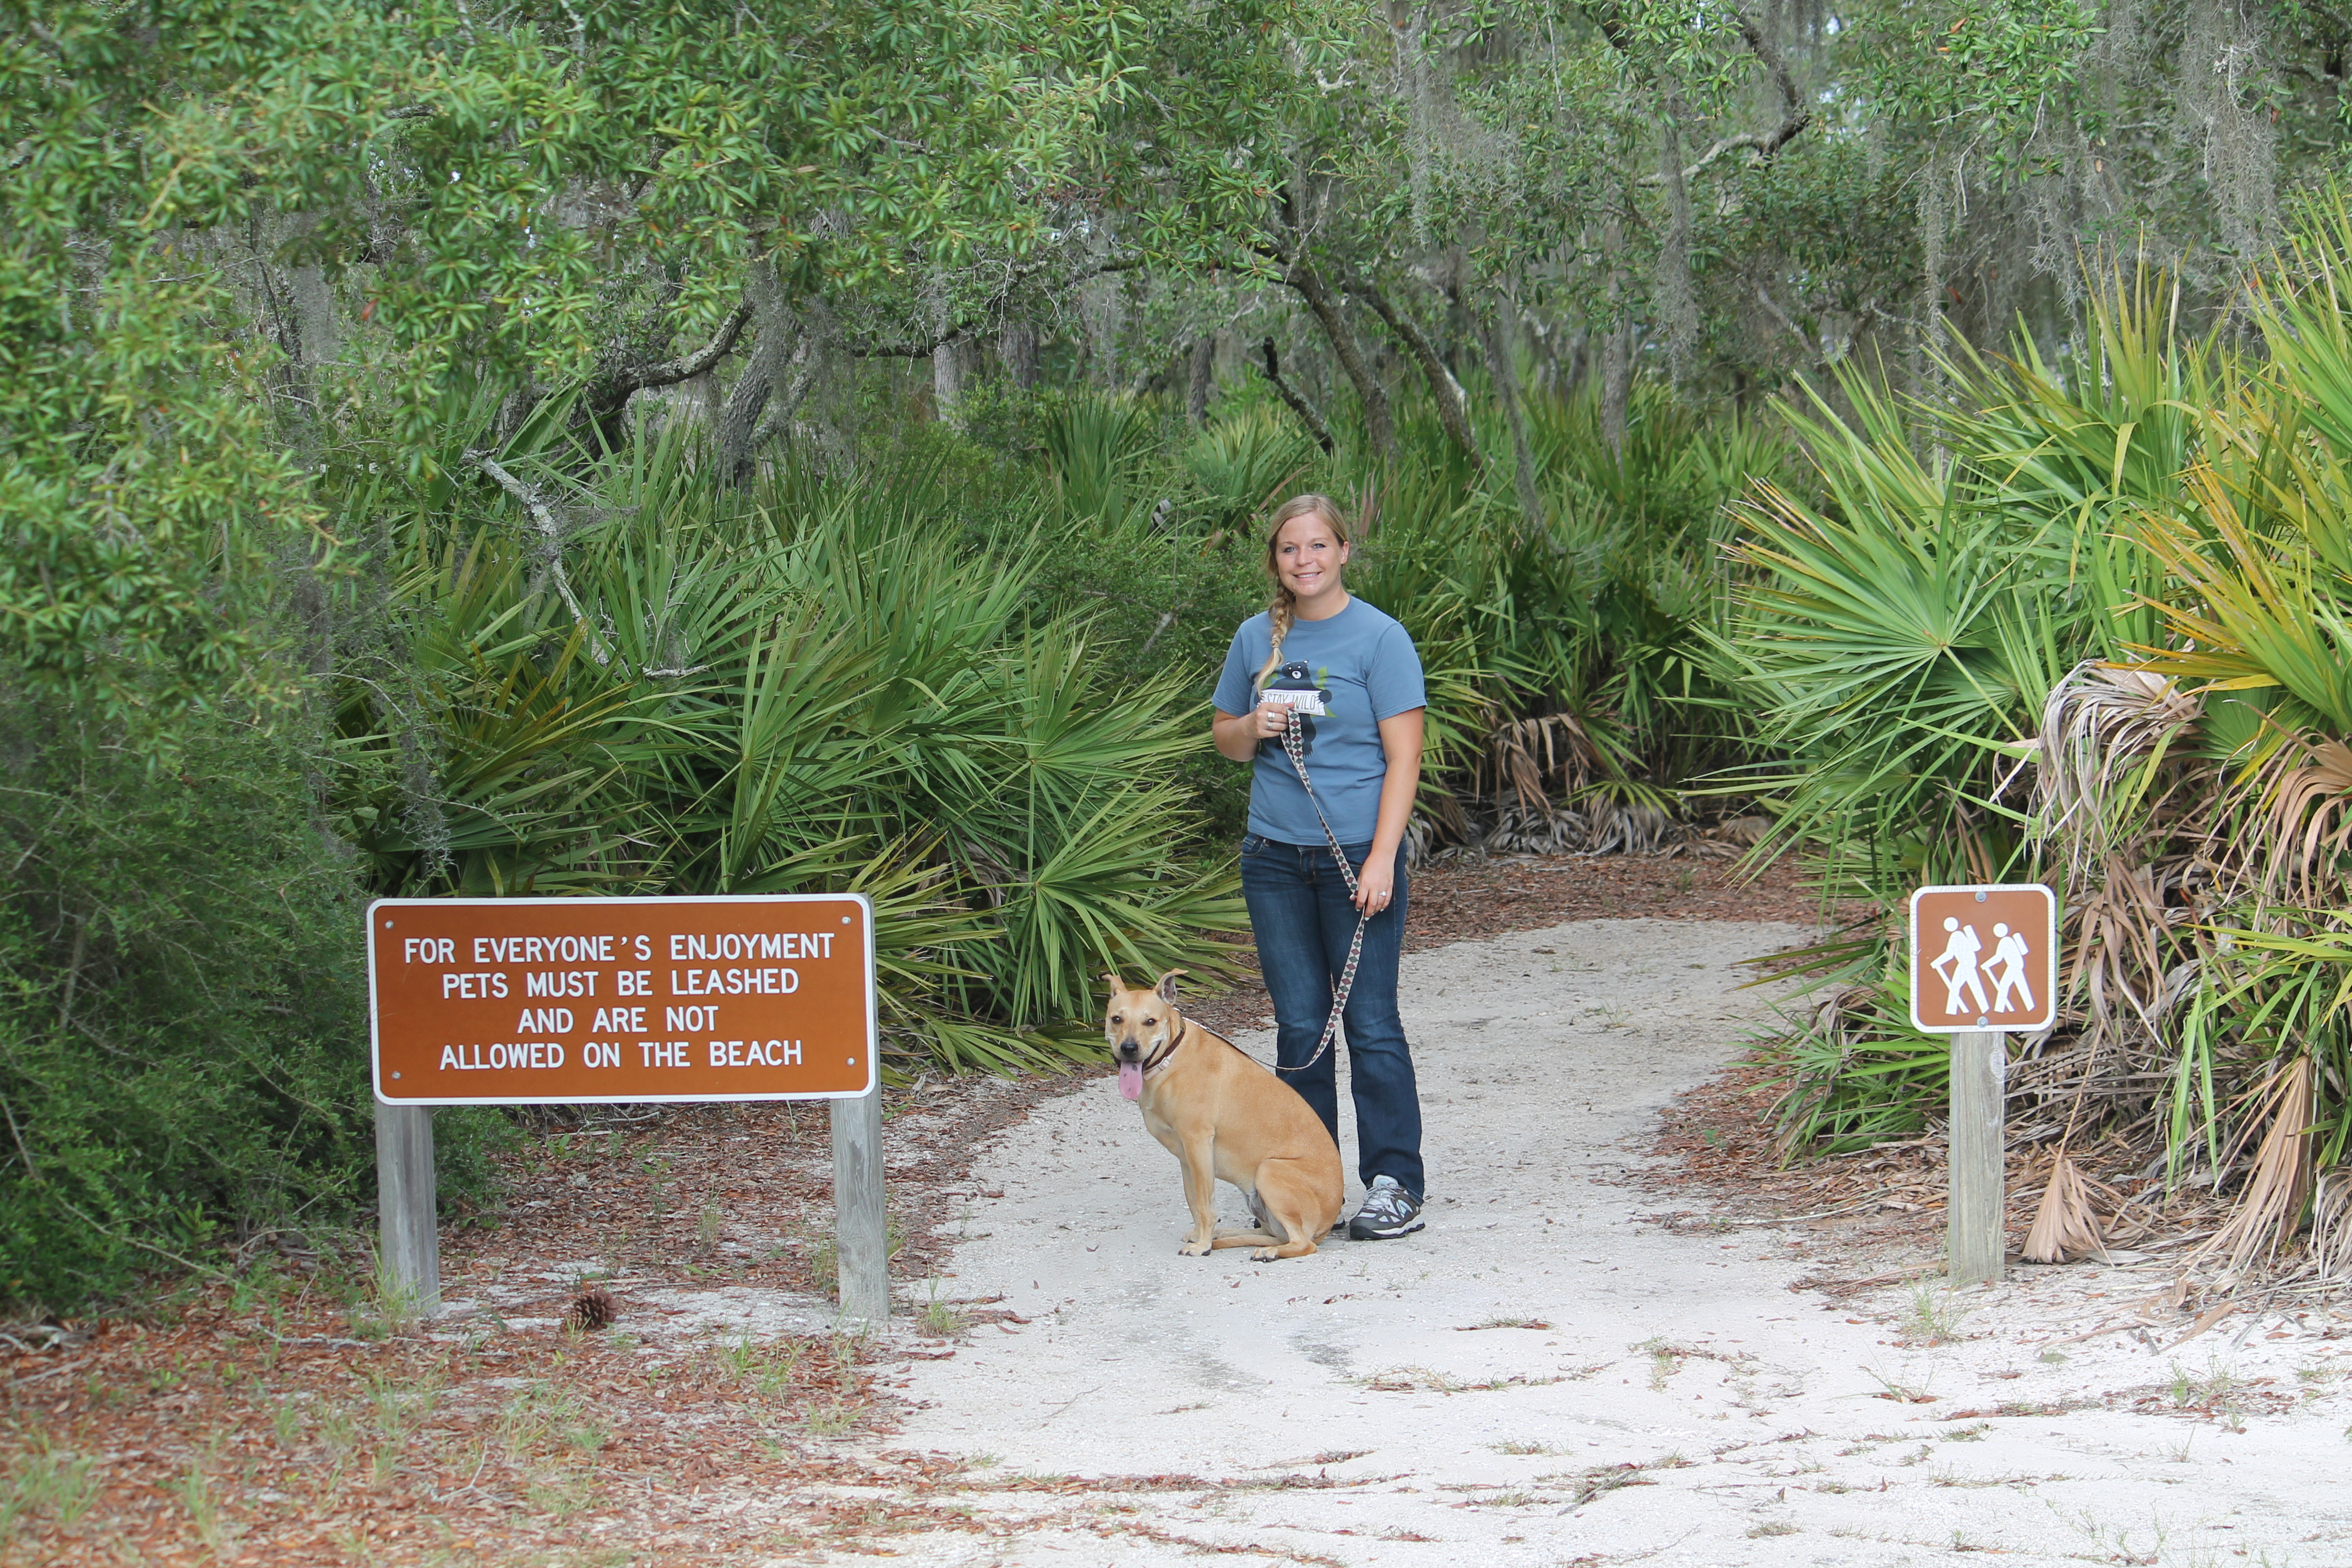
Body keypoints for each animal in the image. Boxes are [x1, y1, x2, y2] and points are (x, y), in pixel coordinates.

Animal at [1101, 968, 1345, 1260]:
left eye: (1150, 1022)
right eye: (1117, 1019)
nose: (1129, 1049)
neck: (1170, 1057)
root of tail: (1327, 1226)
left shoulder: (1198, 1145)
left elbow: (1205, 1206)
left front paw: (1202, 1245)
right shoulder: (1187, 1159)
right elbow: (1194, 1202)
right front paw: (1202, 1237)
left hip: (1269, 1170)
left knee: (1302, 1244)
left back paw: (1267, 1251)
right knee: (1271, 1234)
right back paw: (1228, 1235)